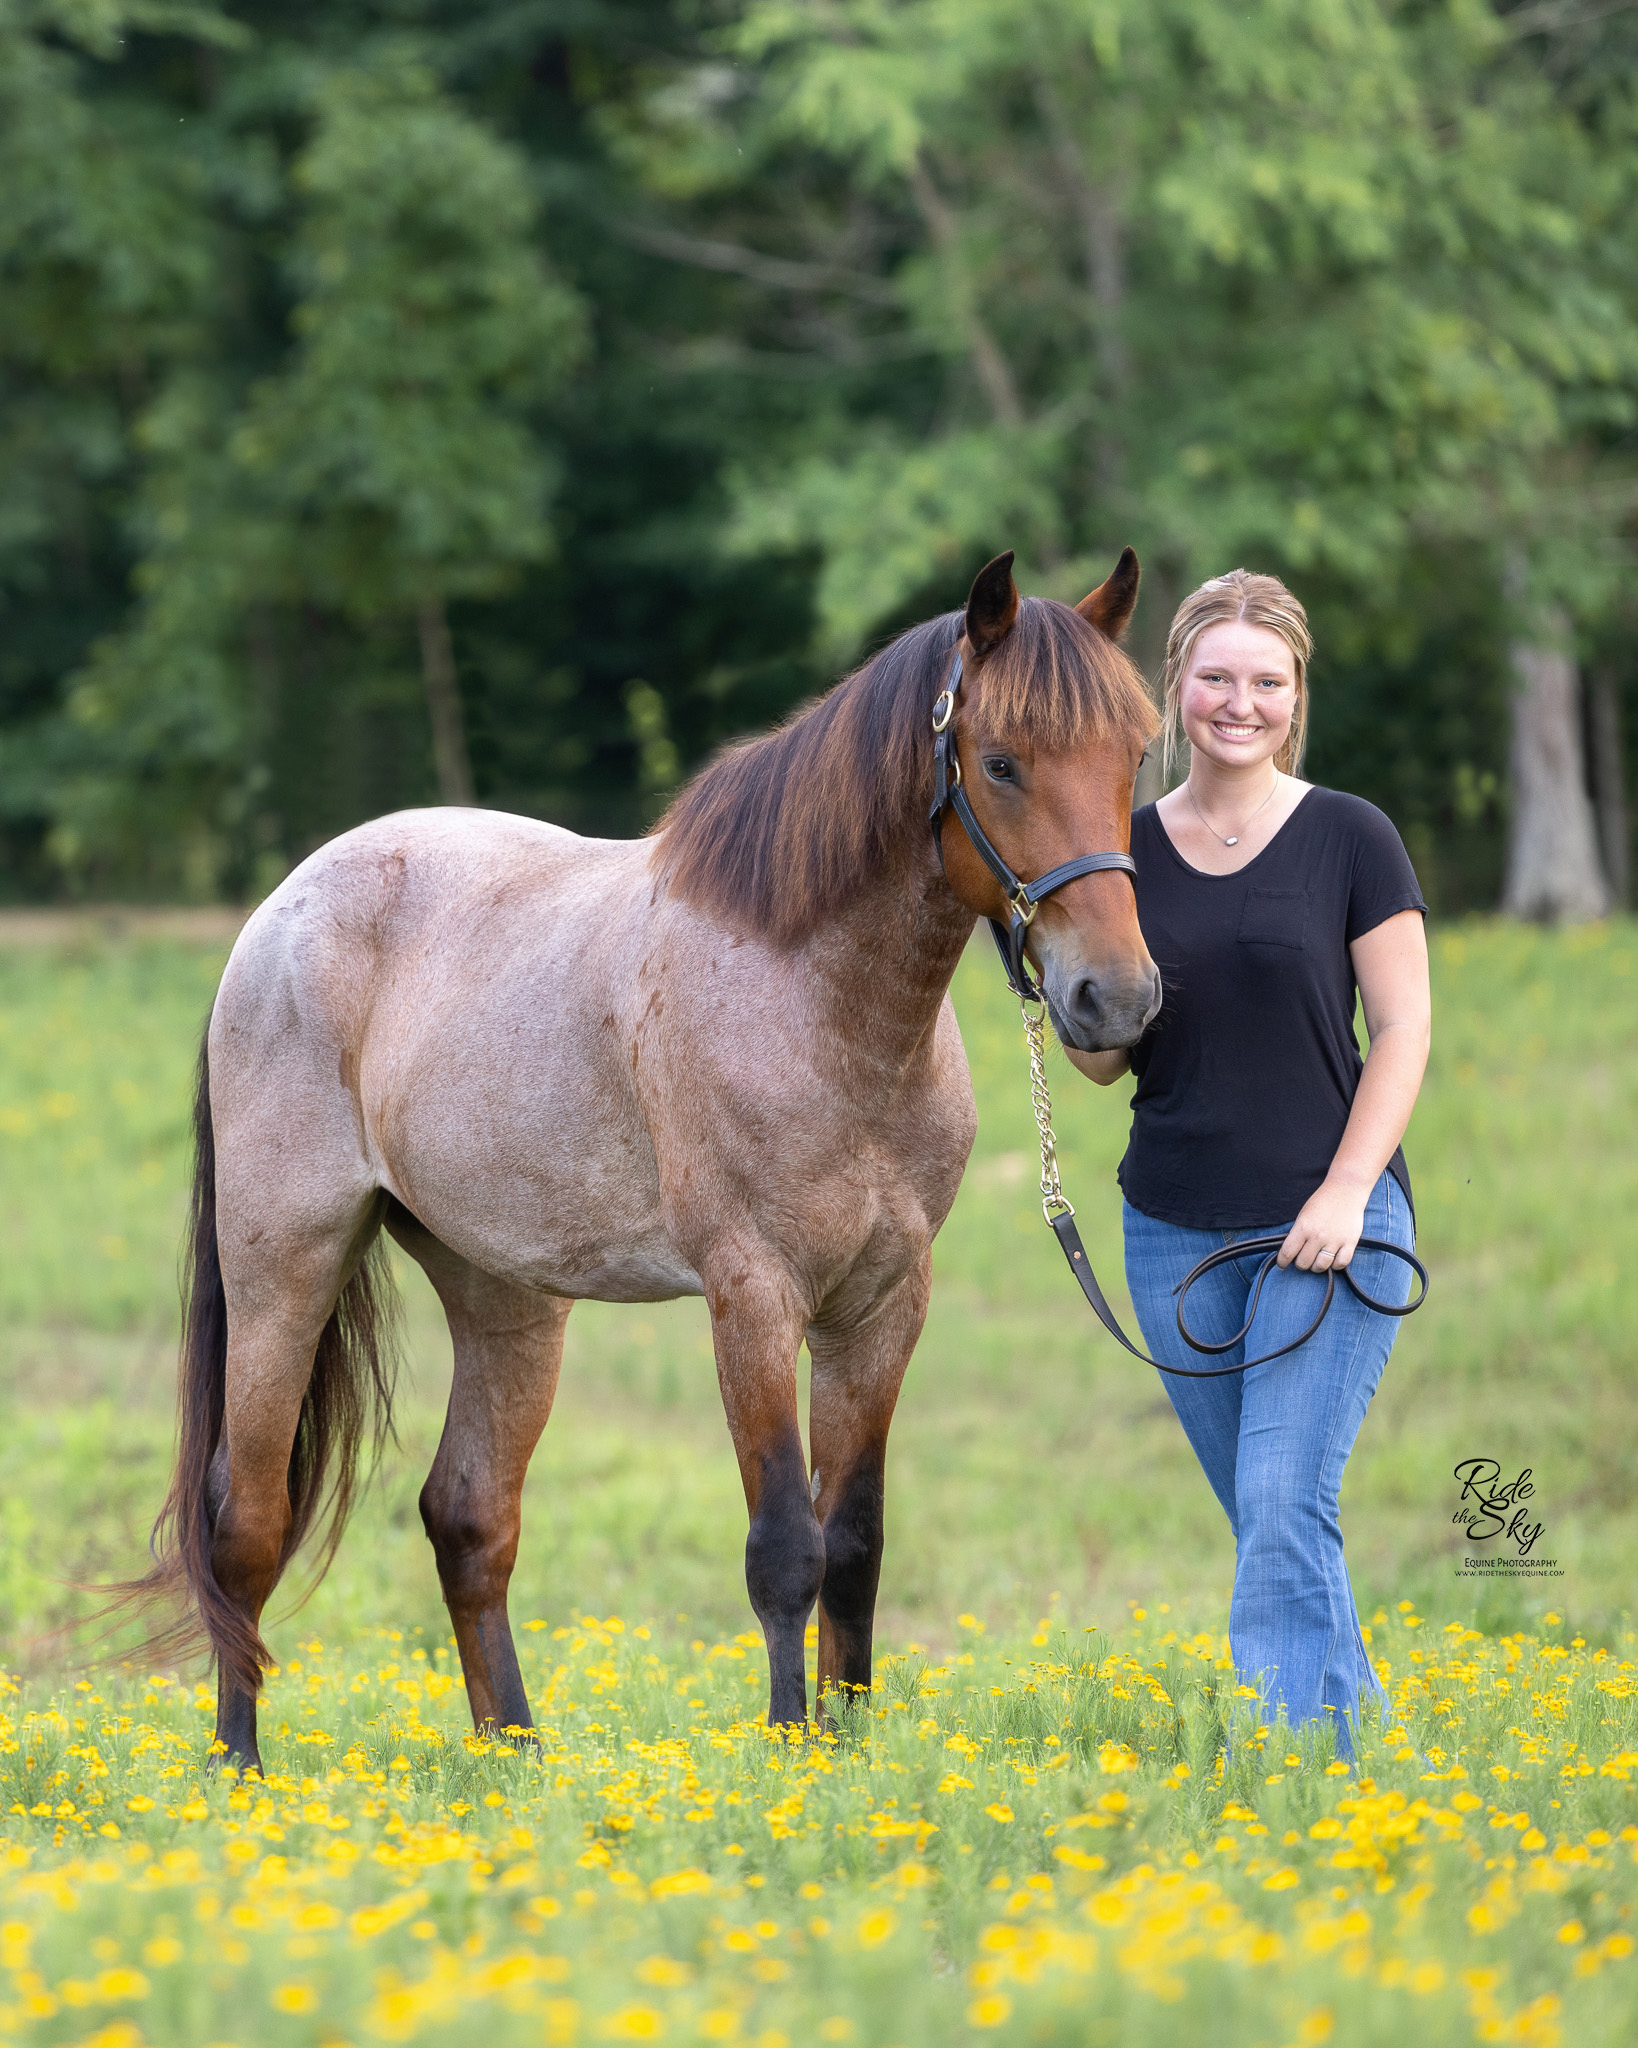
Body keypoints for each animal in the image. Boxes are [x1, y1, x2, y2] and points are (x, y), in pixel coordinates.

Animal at [121, 548, 1154, 1777]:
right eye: (1000, 762)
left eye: (1138, 757)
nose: (1116, 998)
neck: (816, 1002)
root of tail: (277, 915)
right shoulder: (753, 1294)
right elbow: (785, 1547)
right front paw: (791, 1750)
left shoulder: (882, 1302)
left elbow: (854, 1539)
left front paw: (848, 1753)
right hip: (285, 1263)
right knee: (246, 1523)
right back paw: (238, 1774)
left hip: (505, 1295)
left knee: (468, 1516)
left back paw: (515, 1761)